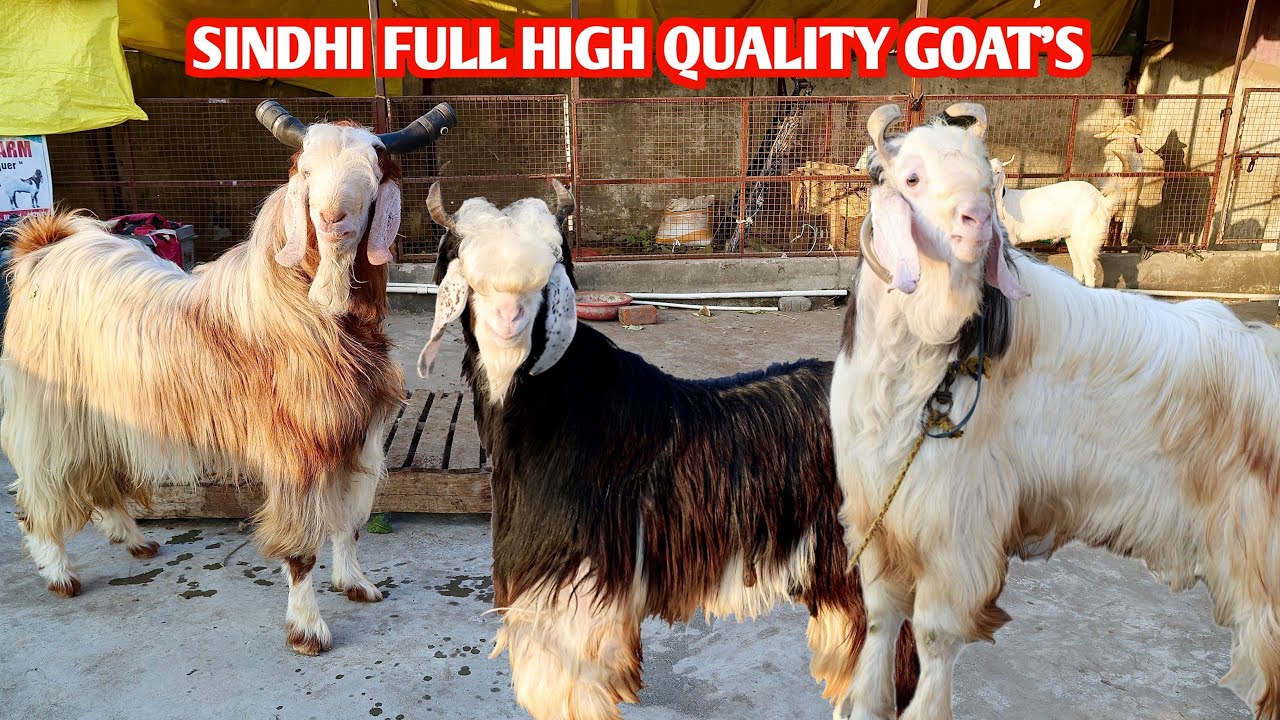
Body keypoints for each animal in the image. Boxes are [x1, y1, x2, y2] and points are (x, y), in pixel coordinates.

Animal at [2, 101, 454, 655]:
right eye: (306, 173)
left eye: (373, 178)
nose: (332, 220)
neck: (305, 308)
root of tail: (44, 244)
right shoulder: (298, 448)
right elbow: (302, 547)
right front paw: (307, 630)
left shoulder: (357, 436)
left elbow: (348, 522)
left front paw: (356, 584)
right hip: (47, 411)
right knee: (40, 490)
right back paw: (59, 572)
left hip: (101, 412)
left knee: (100, 479)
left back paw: (134, 541)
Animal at [990, 157, 1110, 287]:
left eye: (998, 172)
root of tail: (1101, 200)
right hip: (1072, 237)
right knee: (1078, 263)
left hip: (1087, 235)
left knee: (1089, 268)